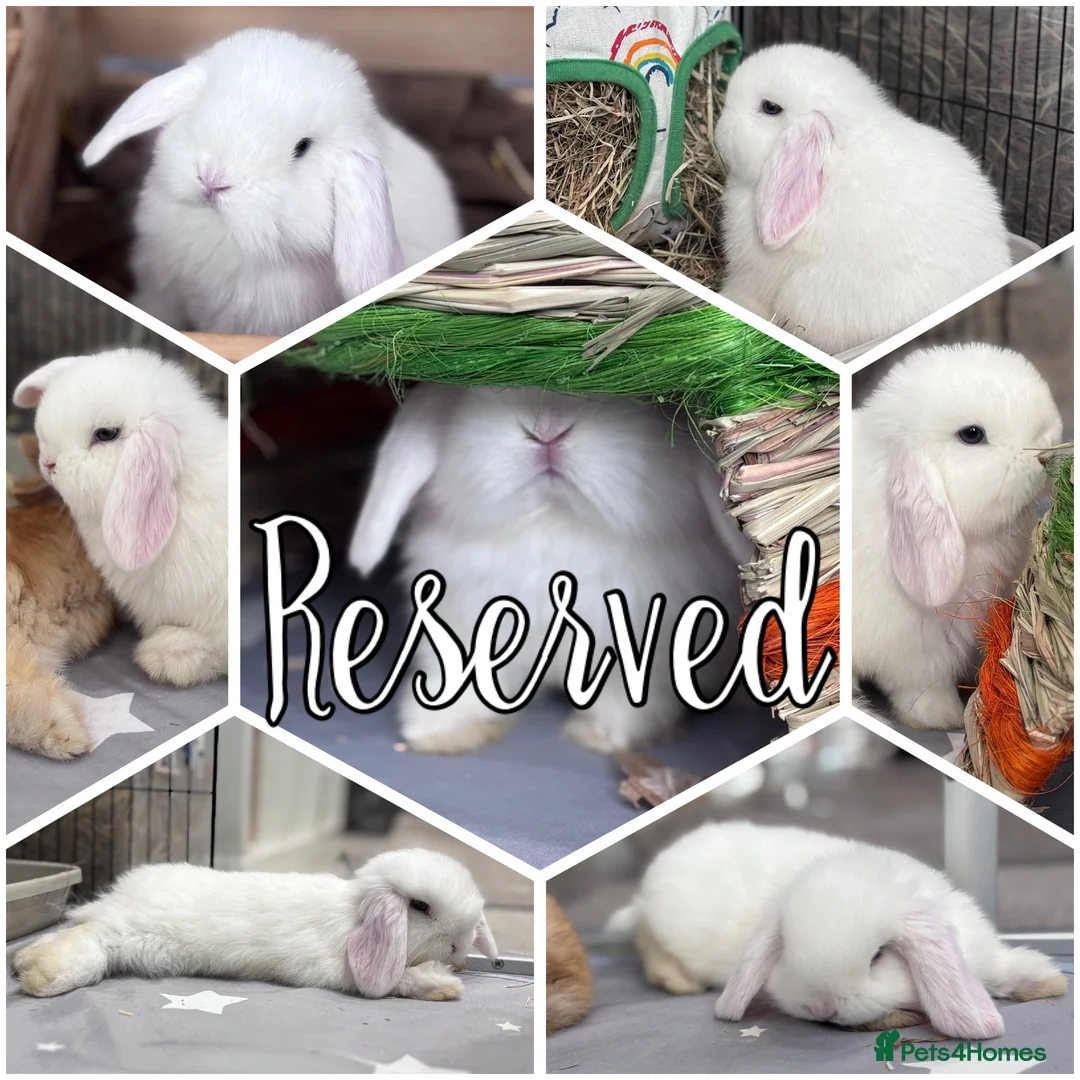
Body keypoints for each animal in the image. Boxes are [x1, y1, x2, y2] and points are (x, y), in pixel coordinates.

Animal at [14, 850, 499, 1001]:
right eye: (420, 906)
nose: (460, 949)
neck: (352, 915)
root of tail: (118, 893)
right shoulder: (342, 973)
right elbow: (396, 980)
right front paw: (443, 985)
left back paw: (22, 963)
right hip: (133, 936)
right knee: (89, 939)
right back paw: (37, 974)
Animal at [612, 821, 1067, 1039]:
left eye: (879, 955)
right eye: (787, 948)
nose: (823, 1007)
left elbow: (1000, 970)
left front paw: (1046, 980)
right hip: (660, 928)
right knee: (647, 943)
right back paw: (679, 981)